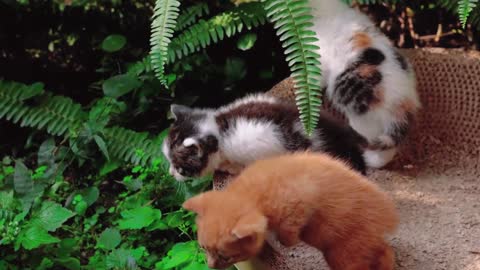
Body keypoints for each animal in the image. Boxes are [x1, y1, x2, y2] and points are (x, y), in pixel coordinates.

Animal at [184, 153, 398, 268]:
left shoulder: (300, 200)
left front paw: (284, 241)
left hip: (343, 252)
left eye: (226, 257)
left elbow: (288, 232)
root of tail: (388, 216)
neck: (251, 191)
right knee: (384, 251)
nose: (210, 266)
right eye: (203, 248)